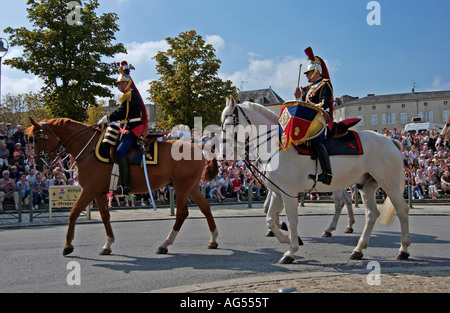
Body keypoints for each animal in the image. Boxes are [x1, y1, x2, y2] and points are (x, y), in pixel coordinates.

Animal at [26, 117, 220, 256]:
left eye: (37, 139)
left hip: (182, 188)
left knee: (182, 213)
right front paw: (108, 244)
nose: (37, 165)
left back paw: (165, 244)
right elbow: (105, 216)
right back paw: (213, 240)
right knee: (205, 208)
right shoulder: (99, 192)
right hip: (191, 187)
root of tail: (198, 146)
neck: (88, 148)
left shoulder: (89, 190)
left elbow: (73, 213)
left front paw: (68, 245)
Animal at [221, 98, 412, 264]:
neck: (275, 145)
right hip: (367, 186)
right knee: (370, 213)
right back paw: (358, 249)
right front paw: (286, 238)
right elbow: (270, 217)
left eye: (229, 124)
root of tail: (390, 140)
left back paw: (403, 250)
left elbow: (291, 220)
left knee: (401, 209)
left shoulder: (287, 192)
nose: (223, 154)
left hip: (389, 183)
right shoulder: (276, 192)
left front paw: (291, 250)